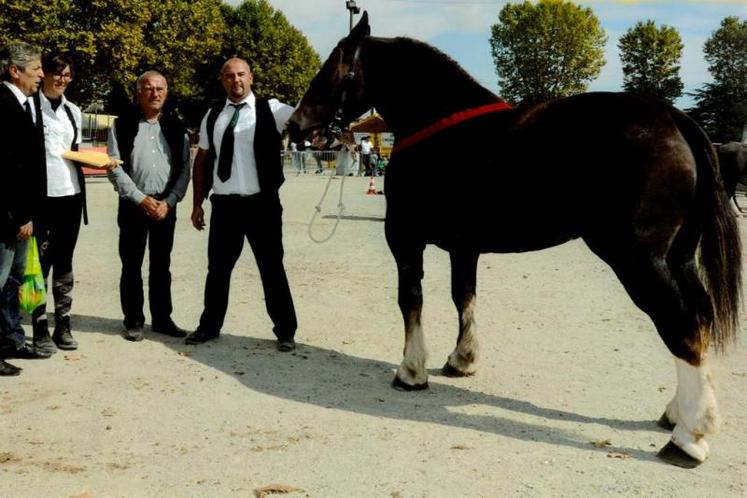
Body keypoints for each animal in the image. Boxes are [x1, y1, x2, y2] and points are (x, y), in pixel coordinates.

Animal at [288, 13, 744, 468]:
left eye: (332, 67)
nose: (295, 126)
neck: (438, 125)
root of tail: (673, 118)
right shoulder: (464, 246)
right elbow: (464, 297)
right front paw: (462, 360)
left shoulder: (404, 238)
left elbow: (411, 300)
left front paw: (411, 371)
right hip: (679, 257)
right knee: (698, 317)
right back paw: (678, 413)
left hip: (638, 260)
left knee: (682, 326)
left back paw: (689, 436)